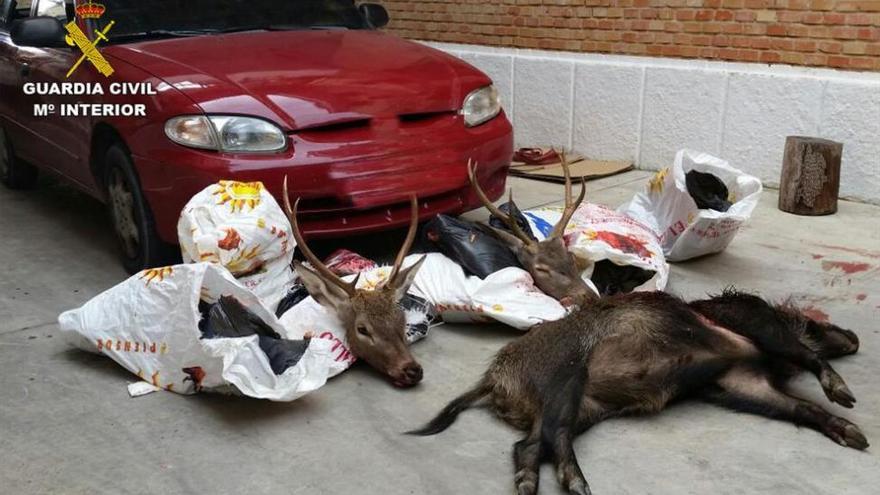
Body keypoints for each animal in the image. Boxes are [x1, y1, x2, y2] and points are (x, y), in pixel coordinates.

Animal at [412, 290, 868, 495]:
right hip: (566, 379)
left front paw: (856, 437)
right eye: (816, 321)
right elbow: (806, 357)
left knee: (528, 445)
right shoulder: (753, 320)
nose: (854, 337)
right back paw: (579, 485)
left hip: (583, 408)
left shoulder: (741, 380)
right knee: (553, 438)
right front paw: (844, 394)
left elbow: (802, 408)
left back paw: (529, 485)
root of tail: (494, 378)